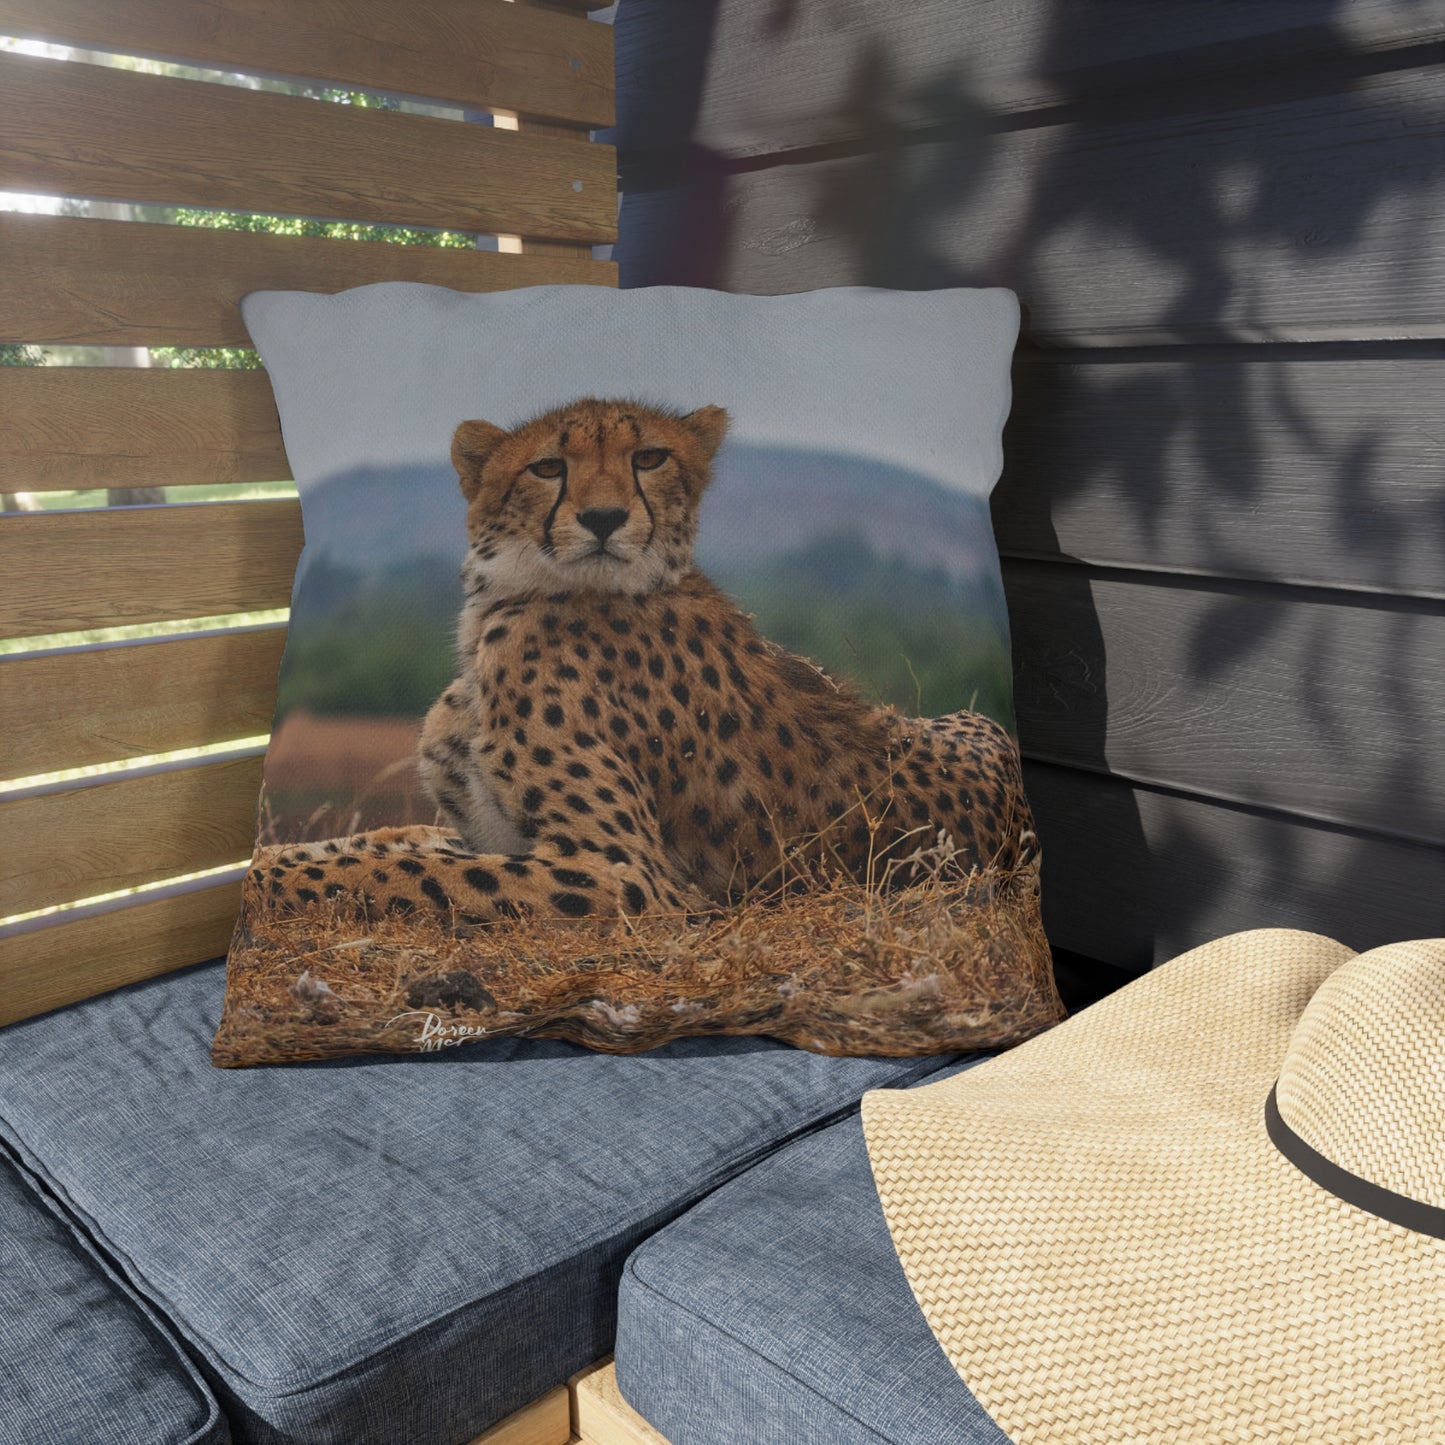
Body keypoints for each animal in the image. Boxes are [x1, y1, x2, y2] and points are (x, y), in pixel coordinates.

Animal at [250, 398, 1037, 926]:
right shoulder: (484, 833)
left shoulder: (629, 875)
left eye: (649, 458)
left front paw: (269, 880)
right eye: (547, 467)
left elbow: (397, 866)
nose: (603, 519)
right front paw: (278, 859)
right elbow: (390, 841)